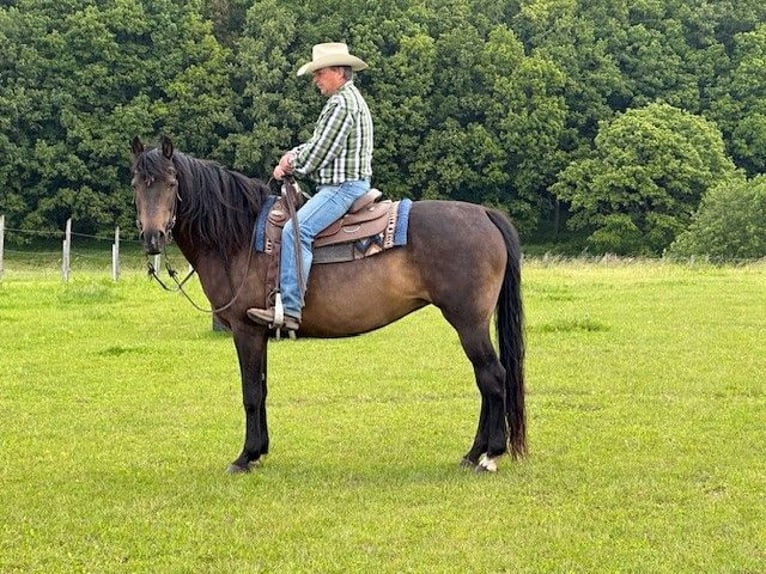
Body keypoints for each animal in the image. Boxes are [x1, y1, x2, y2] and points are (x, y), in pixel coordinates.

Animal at [130, 135, 526, 474]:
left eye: (171, 183)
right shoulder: (259, 333)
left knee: (493, 377)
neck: (238, 238)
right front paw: (260, 451)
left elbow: (251, 393)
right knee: (486, 380)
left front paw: (244, 457)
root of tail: (484, 214)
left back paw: (489, 456)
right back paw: (473, 453)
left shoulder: (246, 330)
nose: (153, 237)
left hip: (469, 322)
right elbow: (263, 388)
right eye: (136, 184)